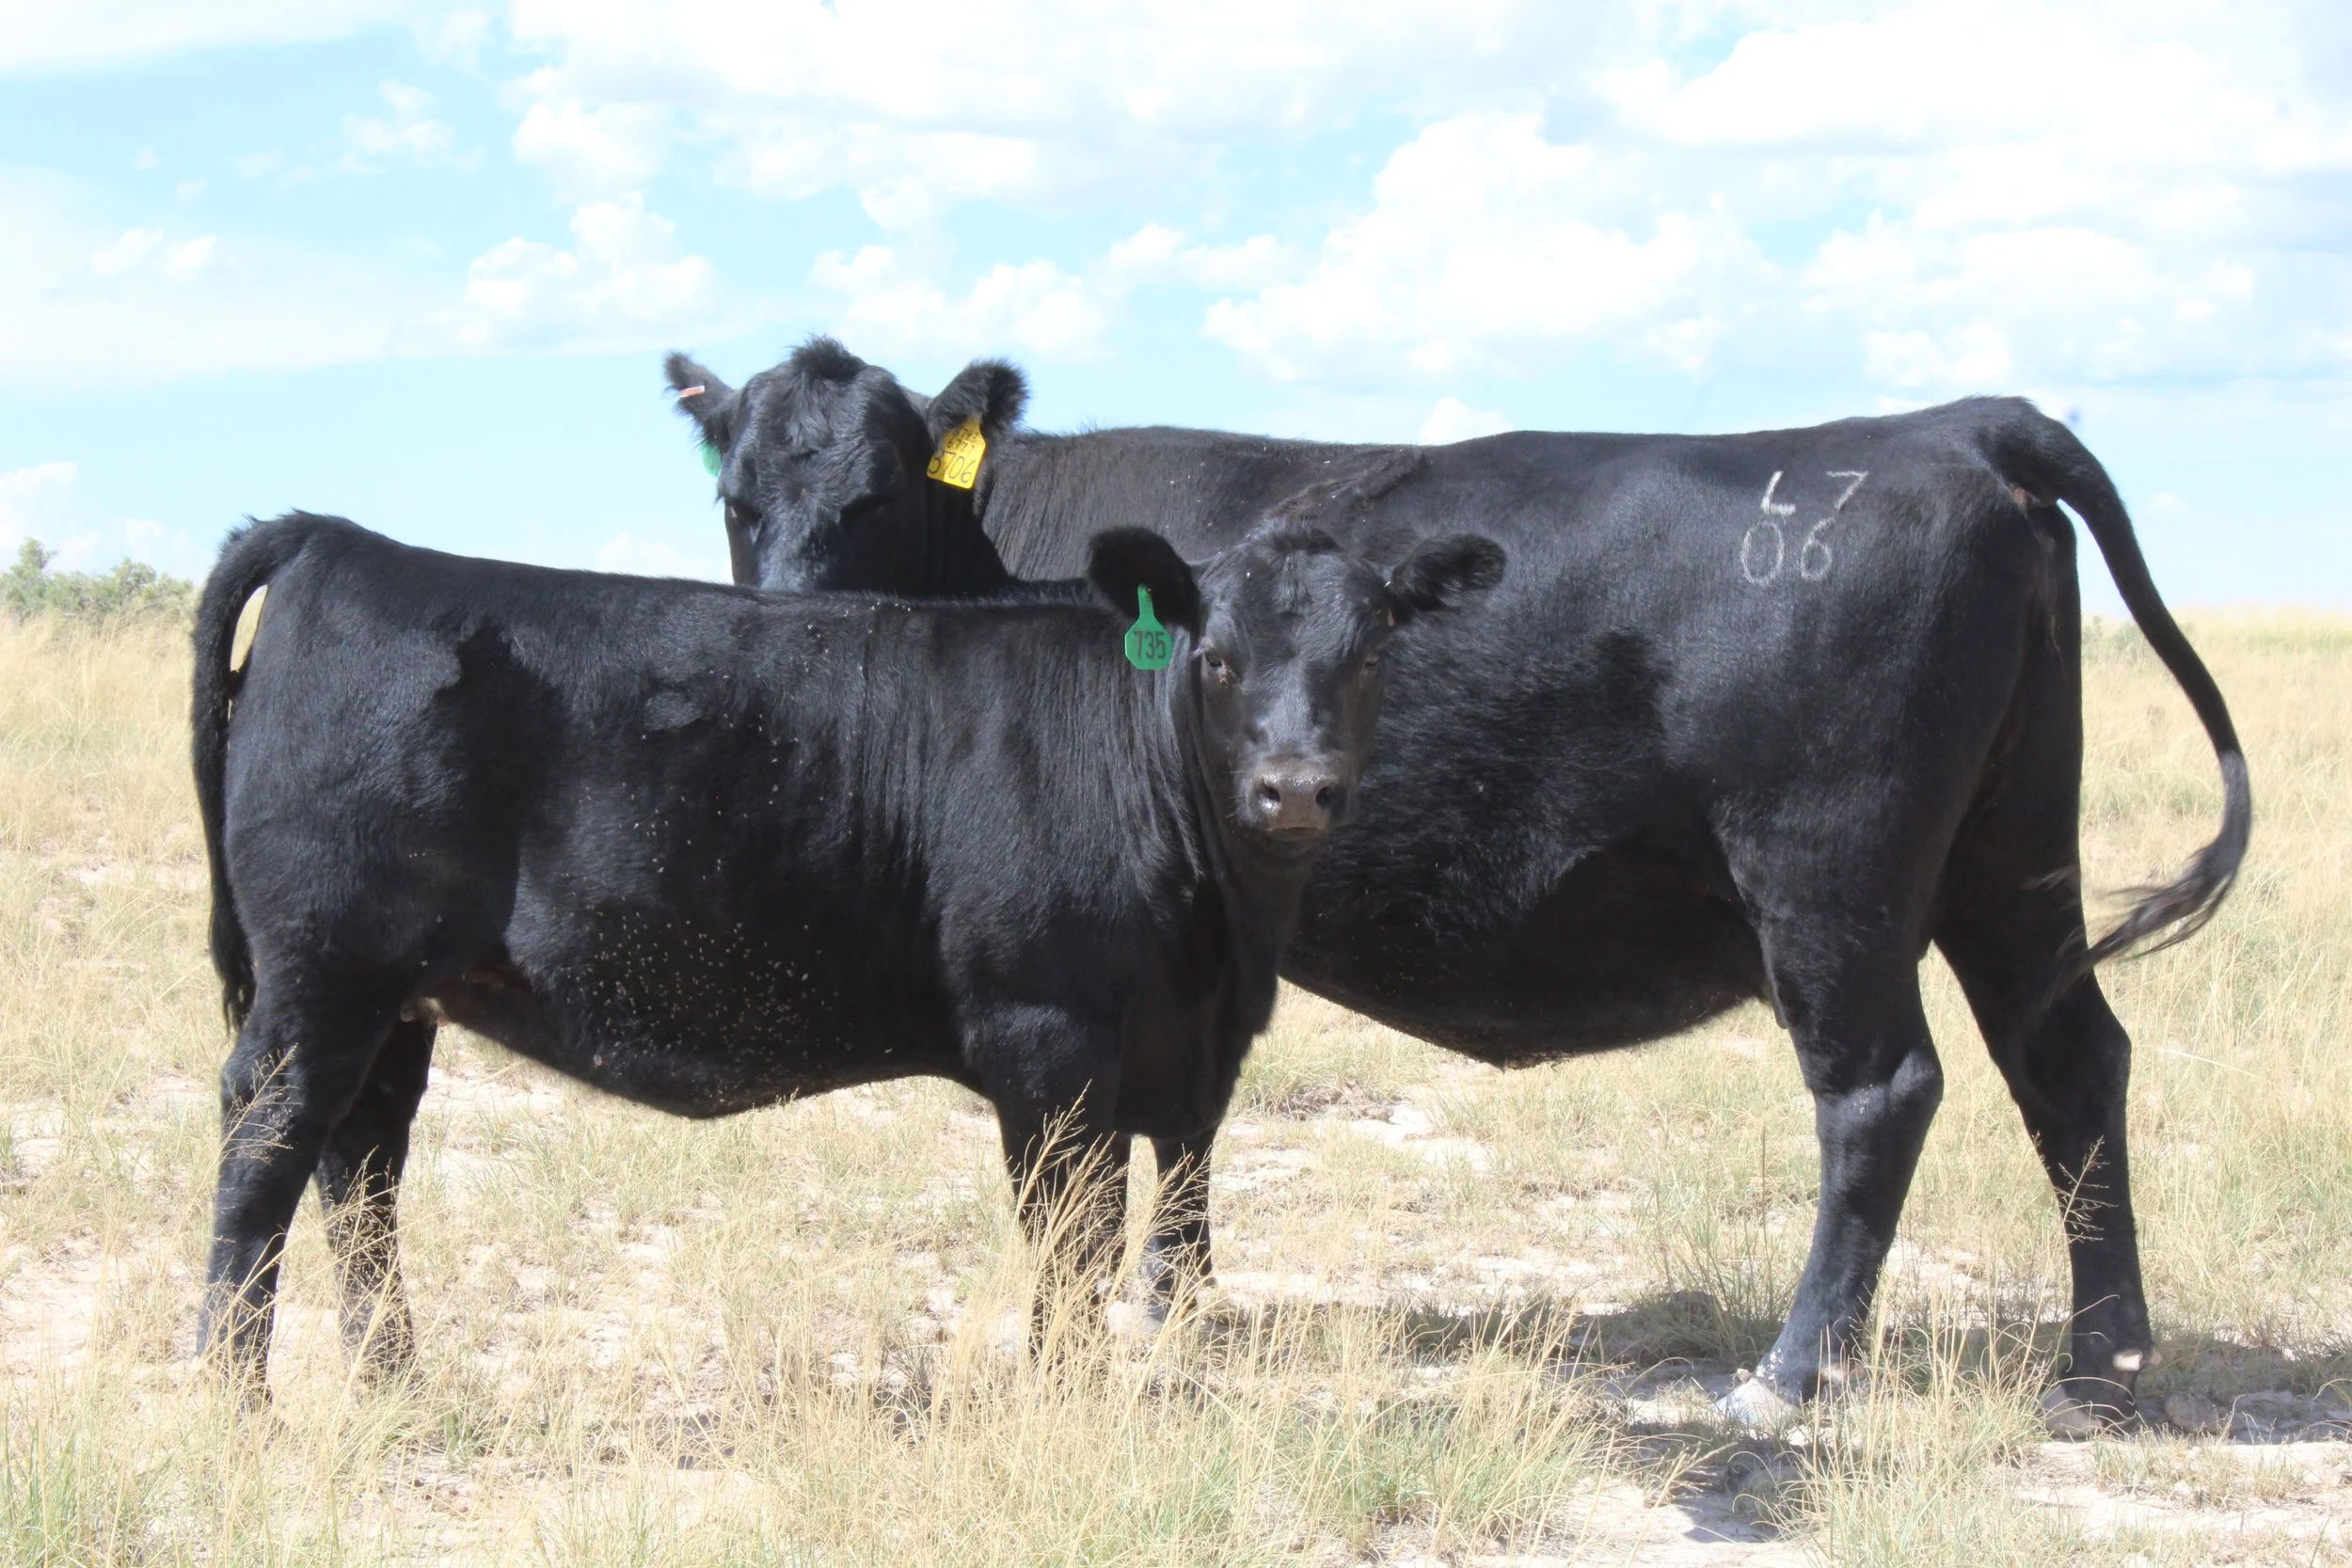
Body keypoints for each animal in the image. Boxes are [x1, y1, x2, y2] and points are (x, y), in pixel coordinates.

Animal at [189, 511, 1504, 1395]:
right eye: (1217, 657)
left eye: (1373, 653)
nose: (1296, 786)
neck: (1223, 939)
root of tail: (342, 541)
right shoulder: (1048, 1037)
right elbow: (1072, 1237)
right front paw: (1068, 1396)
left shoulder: (1183, 1056)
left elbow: (1148, 1226)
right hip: (326, 972)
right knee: (267, 1142)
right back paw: (233, 1392)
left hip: (395, 997)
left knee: (362, 1162)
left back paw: (393, 1379)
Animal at [664, 338, 2249, 1430]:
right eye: (735, 498)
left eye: (874, 489)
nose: (796, 633)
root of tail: (1952, 424)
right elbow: (1187, 1118)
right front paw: (1177, 1295)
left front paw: (1151, 1299)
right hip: (2014, 853)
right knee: (2071, 1058)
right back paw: (2101, 1361)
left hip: (1831, 874)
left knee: (1881, 1090)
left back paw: (1791, 1373)